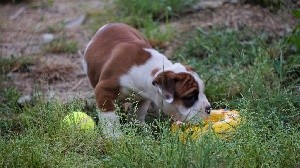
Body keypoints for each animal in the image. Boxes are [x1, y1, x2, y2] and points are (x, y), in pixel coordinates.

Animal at [82, 23, 211, 136]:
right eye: (190, 98)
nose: (209, 109)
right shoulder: (104, 91)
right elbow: (110, 118)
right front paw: (114, 137)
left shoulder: (144, 96)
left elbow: (140, 112)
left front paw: (140, 127)